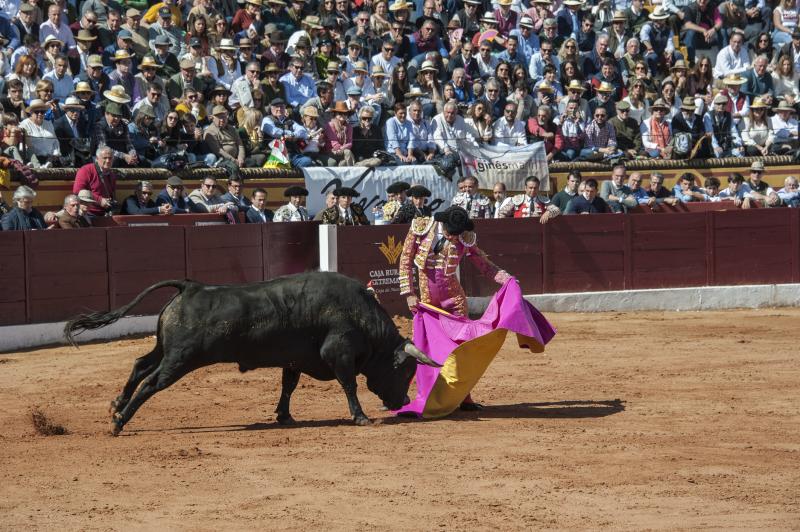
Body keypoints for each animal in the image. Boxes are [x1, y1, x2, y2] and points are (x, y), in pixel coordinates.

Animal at [63, 272, 440, 434]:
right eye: (406, 371)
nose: (403, 402)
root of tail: (189, 287)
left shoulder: (295, 359)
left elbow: (288, 386)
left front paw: (284, 416)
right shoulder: (339, 354)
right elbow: (349, 385)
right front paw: (360, 416)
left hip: (165, 350)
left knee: (141, 365)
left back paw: (115, 406)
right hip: (180, 359)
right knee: (151, 383)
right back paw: (119, 422)